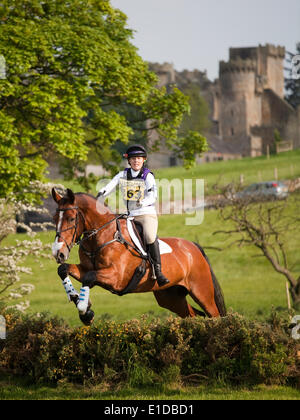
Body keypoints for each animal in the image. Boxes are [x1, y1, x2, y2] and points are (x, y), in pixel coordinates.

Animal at [51, 187, 226, 324]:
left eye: (71, 219)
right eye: (54, 219)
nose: (58, 253)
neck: (101, 236)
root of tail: (193, 247)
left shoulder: (116, 277)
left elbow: (88, 278)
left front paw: (84, 309)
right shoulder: (86, 269)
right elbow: (63, 270)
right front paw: (78, 300)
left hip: (202, 292)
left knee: (214, 315)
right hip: (170, 298)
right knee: (193, 315)